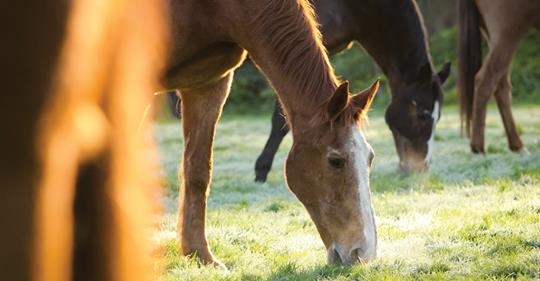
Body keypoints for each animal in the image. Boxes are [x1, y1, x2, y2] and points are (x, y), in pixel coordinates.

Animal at [165, 0, 380, 266]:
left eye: (370, 158)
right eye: (335, 161)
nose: (363, 253)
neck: (221, 9)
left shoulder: (209, 84)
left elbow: (198, 171)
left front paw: (200, 256)